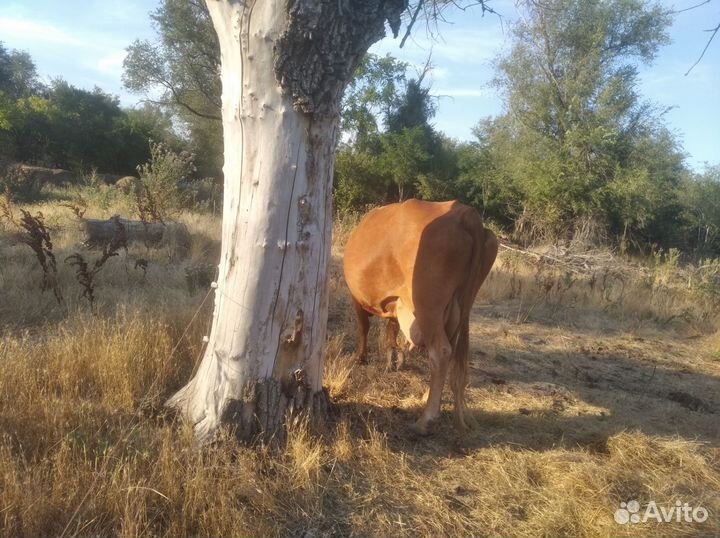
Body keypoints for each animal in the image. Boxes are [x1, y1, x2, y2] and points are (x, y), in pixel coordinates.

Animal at [342, 199, 496, 434]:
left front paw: (360, 357)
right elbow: (392, 329)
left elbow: (363, 327)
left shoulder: (356, 297)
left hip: (428, 307)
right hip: (461, 307)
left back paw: (426, 419)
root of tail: (466, 213)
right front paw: (393, 360)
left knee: (441, 352)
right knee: (455, 355)